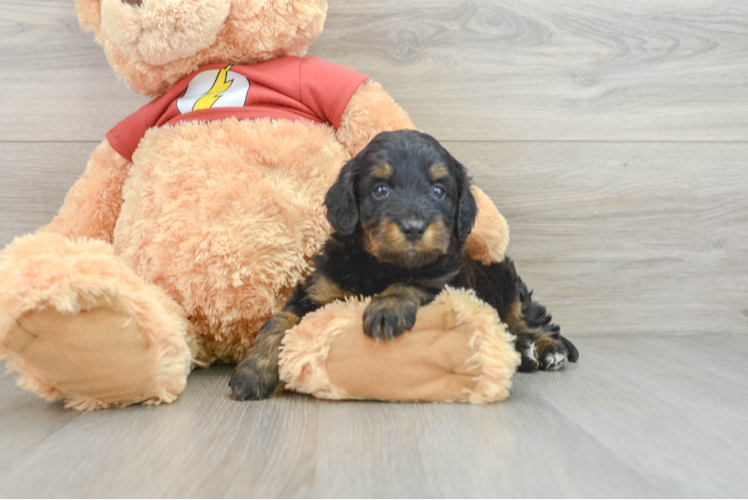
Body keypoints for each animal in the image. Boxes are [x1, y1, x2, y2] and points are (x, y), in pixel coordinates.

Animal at [229, 130, 580, 402]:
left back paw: (549, 350)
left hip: (507, 286)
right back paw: (526, 354)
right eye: (381, 189)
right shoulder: (317, 289)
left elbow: (414, 281)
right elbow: (279, 321)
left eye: (438, 190)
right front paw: (251, 372)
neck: (380, 266)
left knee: (535, 321)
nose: (413, 228)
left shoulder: (444, 279)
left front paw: (387, 309)